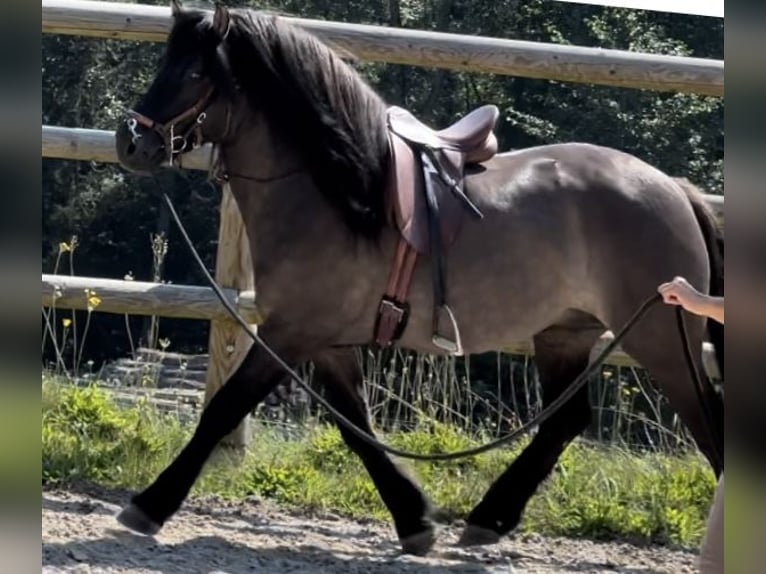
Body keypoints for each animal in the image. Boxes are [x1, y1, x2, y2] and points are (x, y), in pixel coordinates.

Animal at [111, 0, 724, 560]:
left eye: (194, 73)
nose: (131, 142)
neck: (338, 194)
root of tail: (674, 189)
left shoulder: (290, 333)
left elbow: (223, 409)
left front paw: (148, 505)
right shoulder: (327, 342)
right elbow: (355, 428)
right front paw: (413, 520)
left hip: (663, 342)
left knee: (708, 425)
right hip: (565, 333)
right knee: (565, 422)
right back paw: (488, 519)